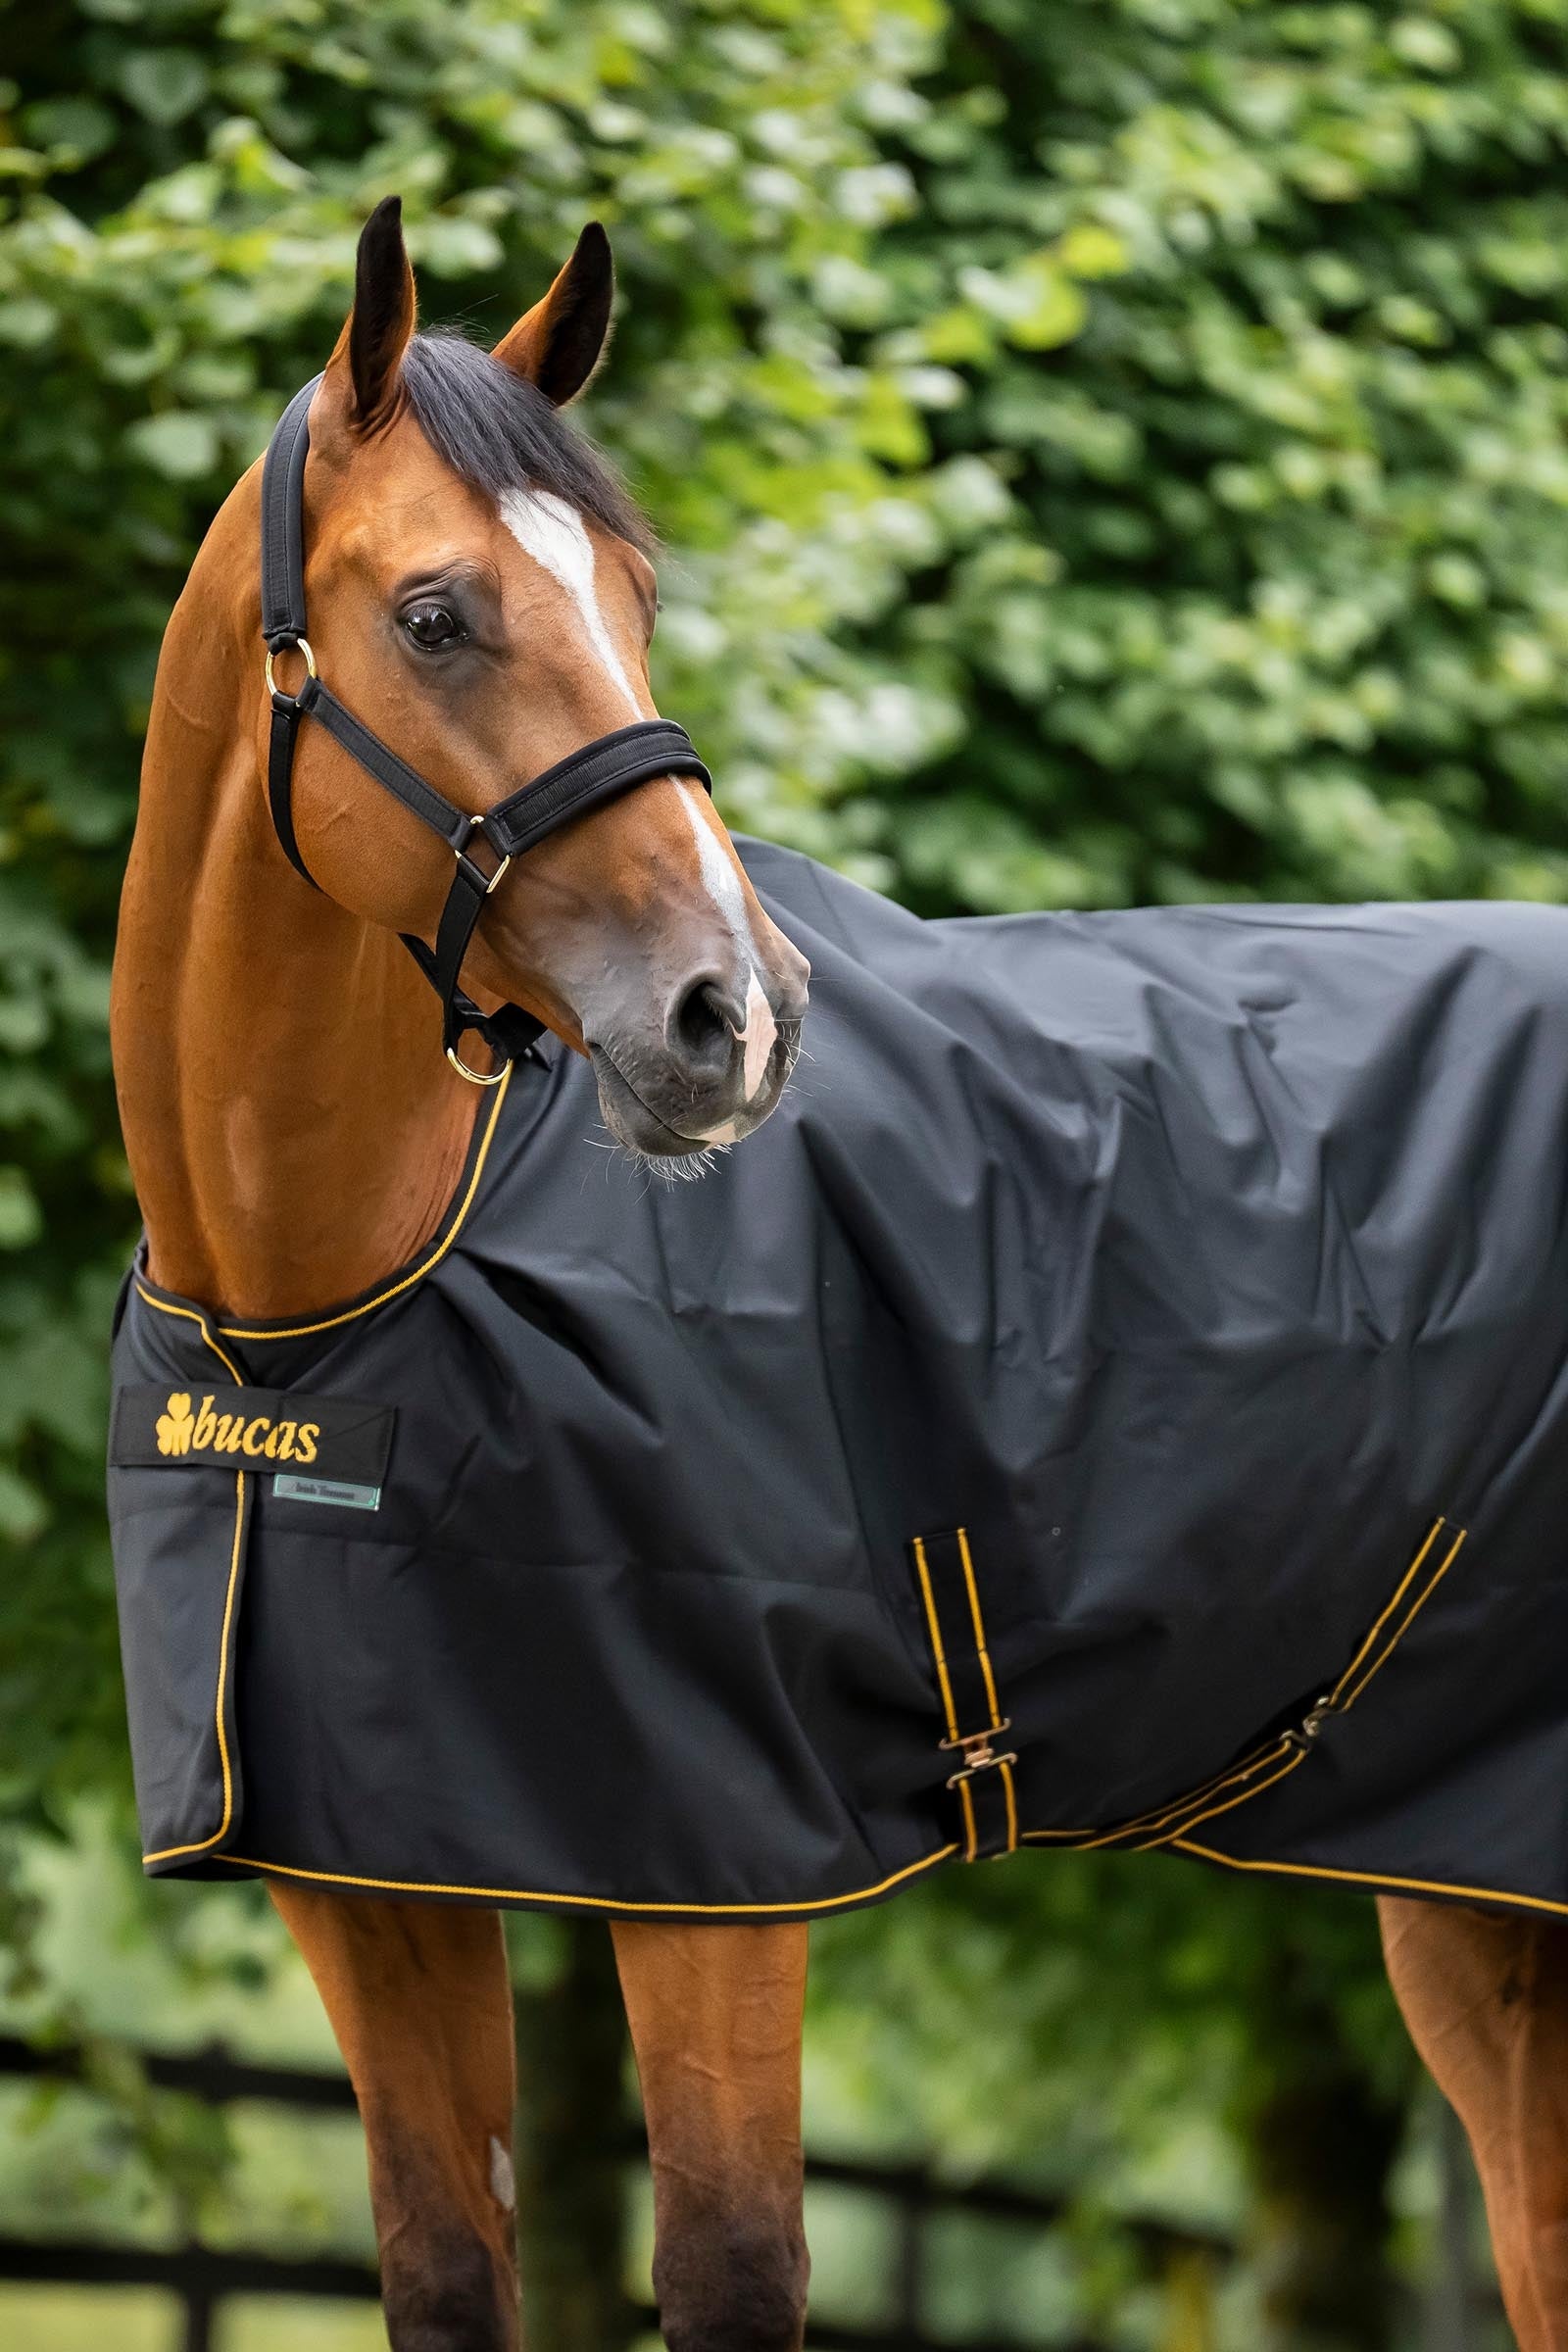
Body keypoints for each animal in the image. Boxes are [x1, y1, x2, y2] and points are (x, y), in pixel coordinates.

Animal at [108, 198, 1568, 2352]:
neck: (320, 1312)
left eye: (634, 594)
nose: (730, 1017)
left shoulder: (723, 1869)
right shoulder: (369, 1876)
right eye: (439, 615)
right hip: (1468, 1897)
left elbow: (729, 2271)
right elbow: (445, 2273)